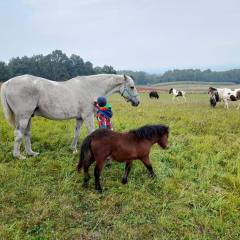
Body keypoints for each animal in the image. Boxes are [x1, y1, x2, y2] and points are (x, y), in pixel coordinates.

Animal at [0, 73, 139, 159]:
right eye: (132, 87)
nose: (137, 102)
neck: (91, 87)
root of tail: (8, 83)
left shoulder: (80, 118)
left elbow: (76, 133)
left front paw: (73, 149)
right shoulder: (88, 116)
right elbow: (92, 132)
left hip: (29, 117)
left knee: (26, 134)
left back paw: (31, 153)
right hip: (24, 117)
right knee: (18, 134)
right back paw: (18, 156)